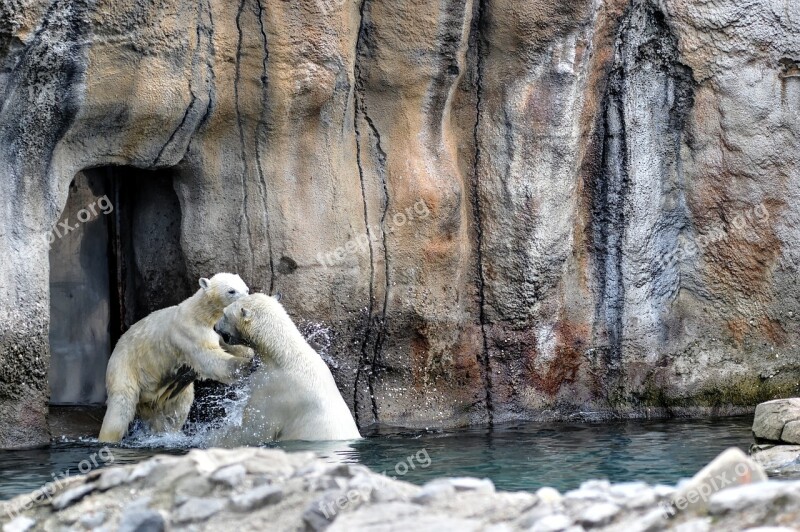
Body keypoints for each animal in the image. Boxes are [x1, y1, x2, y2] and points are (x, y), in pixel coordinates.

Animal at [98, 272, 253, 442]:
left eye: (246, 289)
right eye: (231, 291)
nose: (247, 300)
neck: (202, 314)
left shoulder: (218, 332)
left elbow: (234, 347)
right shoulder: (190, 332)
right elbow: (209, 358)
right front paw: (247, 365)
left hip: (165, 394)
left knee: (178, 407)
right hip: (125, 368)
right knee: (120, 408)